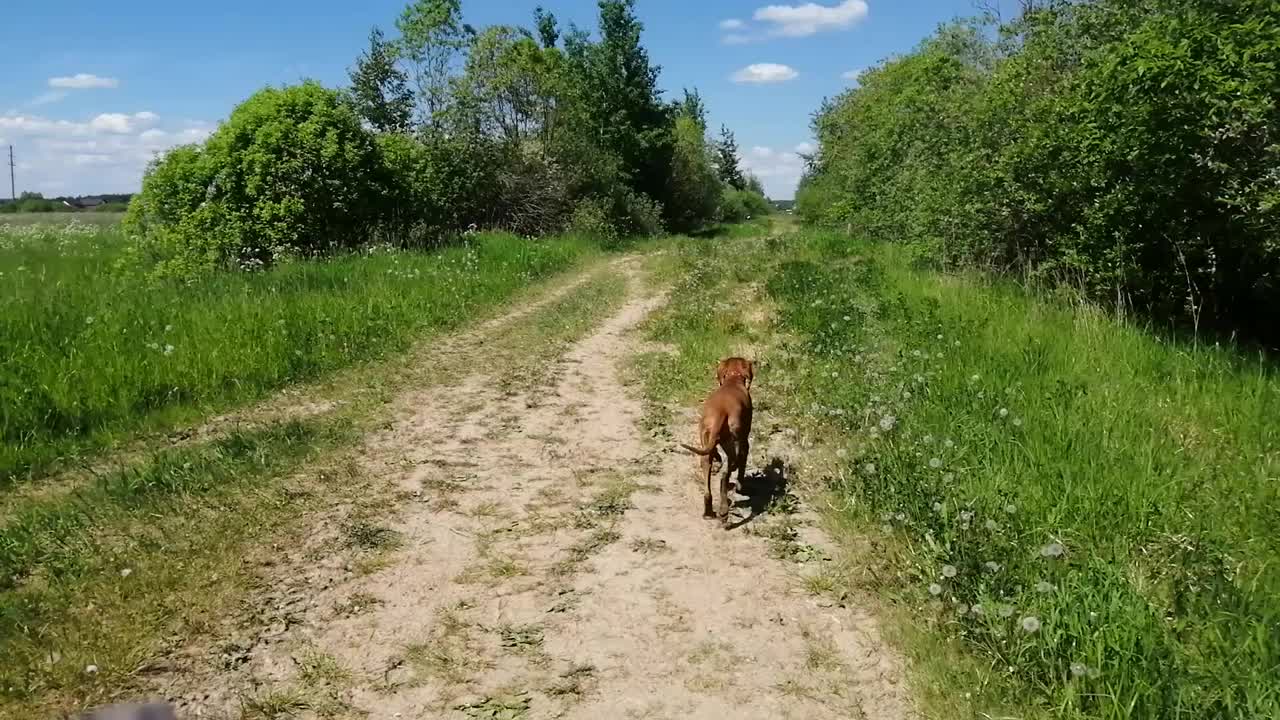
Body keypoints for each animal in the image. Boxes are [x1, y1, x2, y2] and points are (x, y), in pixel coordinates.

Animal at [680, 356, 747, 520]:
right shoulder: (744, 440)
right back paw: (723, 507)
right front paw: (740, 485)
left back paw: (708, 510)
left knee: (707, 468)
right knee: (726, 473)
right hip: (733, 441)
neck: (733, 380)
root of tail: (722, 412)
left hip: (705, 433)